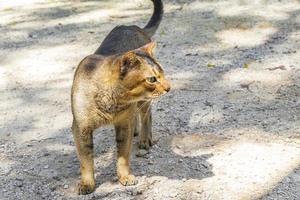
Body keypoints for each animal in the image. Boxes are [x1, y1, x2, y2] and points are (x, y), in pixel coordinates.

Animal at [70, 0, 169, 195]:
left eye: (162, 75)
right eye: (152, 79)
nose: (169, 87)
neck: (112, 103)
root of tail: (133, 26)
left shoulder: (123, 125)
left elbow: (123, 155)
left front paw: (124, 177)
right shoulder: (81, 129)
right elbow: (86, 161)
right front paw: (87, 184)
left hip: (144, 102)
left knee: (146, 116)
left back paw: (145, 139)